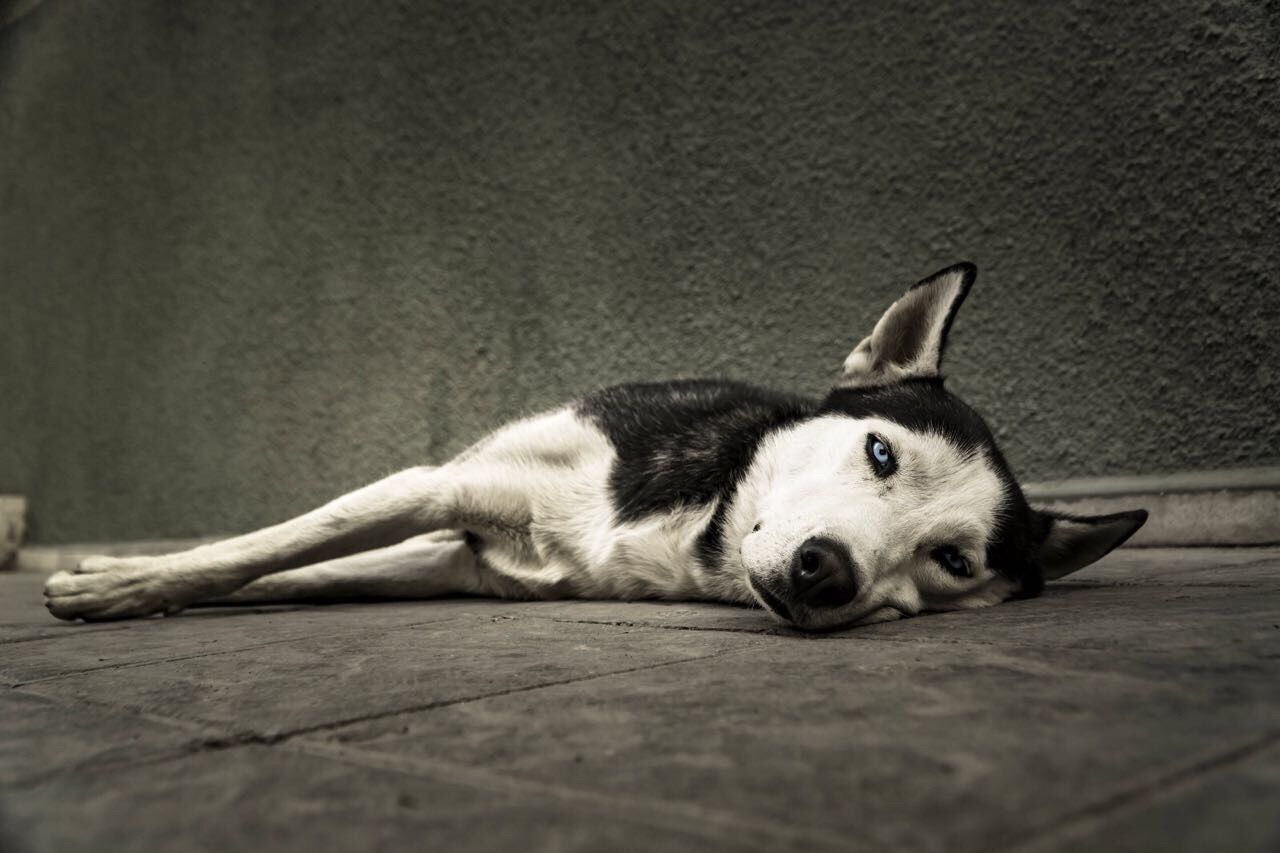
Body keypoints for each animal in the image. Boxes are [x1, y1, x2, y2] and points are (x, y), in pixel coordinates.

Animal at [45, 262, 1152, 627]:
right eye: (880, 454)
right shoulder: (441, 490)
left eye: (953, 560)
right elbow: (274, 545)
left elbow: (306, 568)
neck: (694, 522)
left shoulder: (462, 564)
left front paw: (128, 583)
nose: (825, 570)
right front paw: (122, 584)